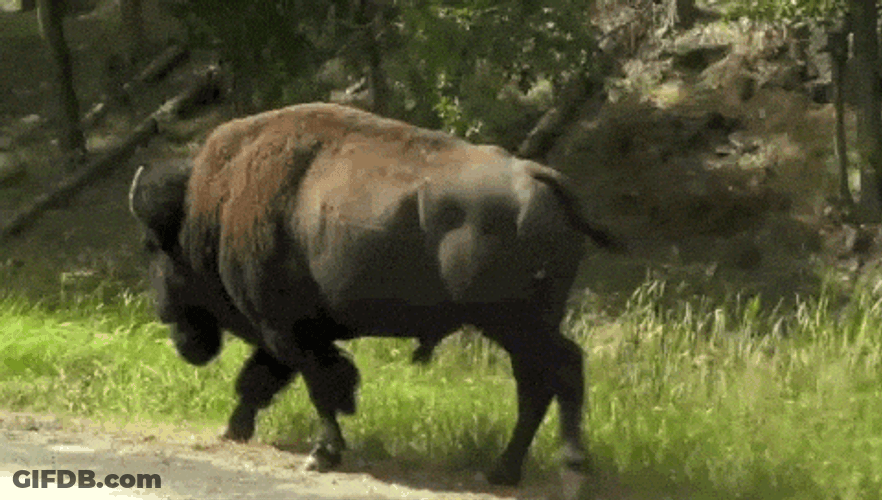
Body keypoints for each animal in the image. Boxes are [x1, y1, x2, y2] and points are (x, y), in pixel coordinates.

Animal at [129, 103, 619, 486]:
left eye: (154, 246)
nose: (163, 313)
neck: (211, 208)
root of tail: (541, 176)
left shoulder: (285, 329)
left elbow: (318, 385)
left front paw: (322, 454)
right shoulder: (287, 334)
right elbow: (264, 380)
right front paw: (235, 429)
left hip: (514, 324)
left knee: (559, 371)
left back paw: (568, 470)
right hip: (525, 327)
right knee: (539, 383)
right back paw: (505, 470)